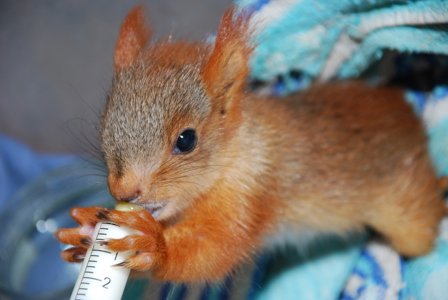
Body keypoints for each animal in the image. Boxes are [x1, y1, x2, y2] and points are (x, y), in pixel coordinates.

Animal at [54, 5, 446, 284]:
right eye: (105, 122)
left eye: (186, 140)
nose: (124, 190)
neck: (235, 148)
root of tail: (405, 109)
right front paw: (85, 231)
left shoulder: (251, 189)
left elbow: (214, 247)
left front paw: (155, 244)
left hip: (407, 213)